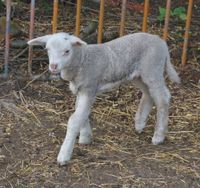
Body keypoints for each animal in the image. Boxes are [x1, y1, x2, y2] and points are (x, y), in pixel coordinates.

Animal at [27, 32, 180, 164]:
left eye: (67, 51)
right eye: (47, 49)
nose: (53, 66)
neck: (82, 59)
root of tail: (161, 42)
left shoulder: (89, 87)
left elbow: (75, 119)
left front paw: (64, 156)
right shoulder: (82, 90)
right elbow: (81, 114)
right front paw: (86, 137)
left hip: (153, 68)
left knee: (162, 98)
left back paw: (158, 136)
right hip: (138, 75)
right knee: (148, 94)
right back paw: (140, 124)